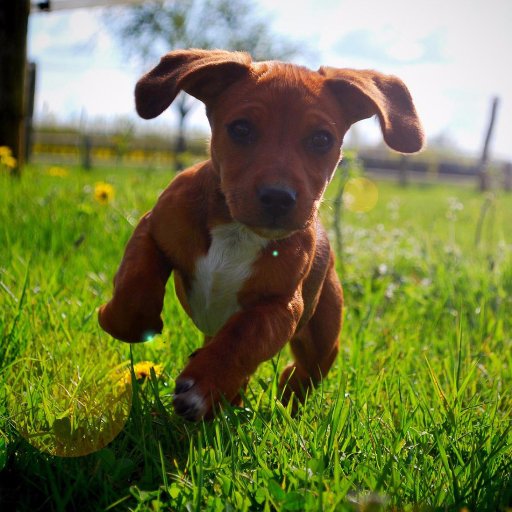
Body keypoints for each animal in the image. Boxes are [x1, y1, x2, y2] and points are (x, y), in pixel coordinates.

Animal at [97, 50, 424, 422]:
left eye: (321, 139)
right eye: (241, 129)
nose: (278, 197)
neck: (238, 231)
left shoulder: (281, 306)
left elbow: (244, 336)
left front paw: (204, 385)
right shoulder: (152, 229)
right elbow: (134, 291)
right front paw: (114, 317)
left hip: (322, 335)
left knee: (306, 369)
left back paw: (282, 397)